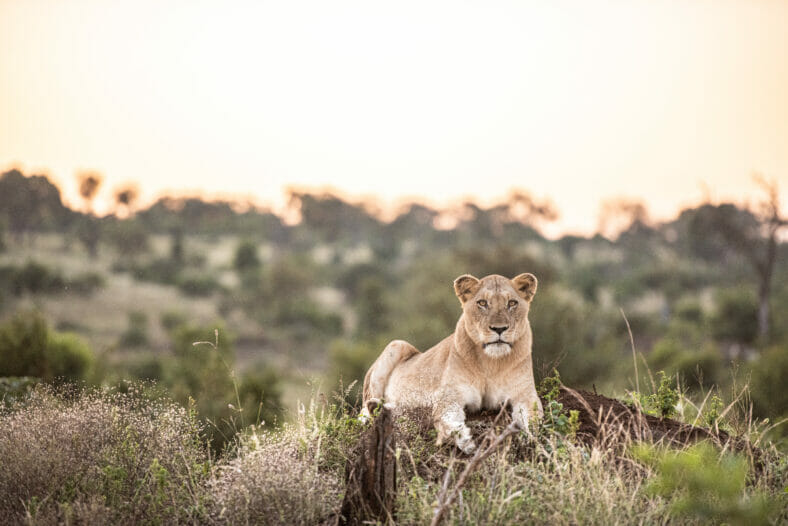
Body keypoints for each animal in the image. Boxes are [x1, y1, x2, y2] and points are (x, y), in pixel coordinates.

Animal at [360, 273, 543, 453]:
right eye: (482, 303)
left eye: (512, 303)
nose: (499, 329)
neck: (491, 362)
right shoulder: (449, 396)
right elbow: (447, 421)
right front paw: (465, 440)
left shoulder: (525, 395)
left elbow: (533, 420)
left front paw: (531, 442)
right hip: (396, 344)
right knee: (364, 408)